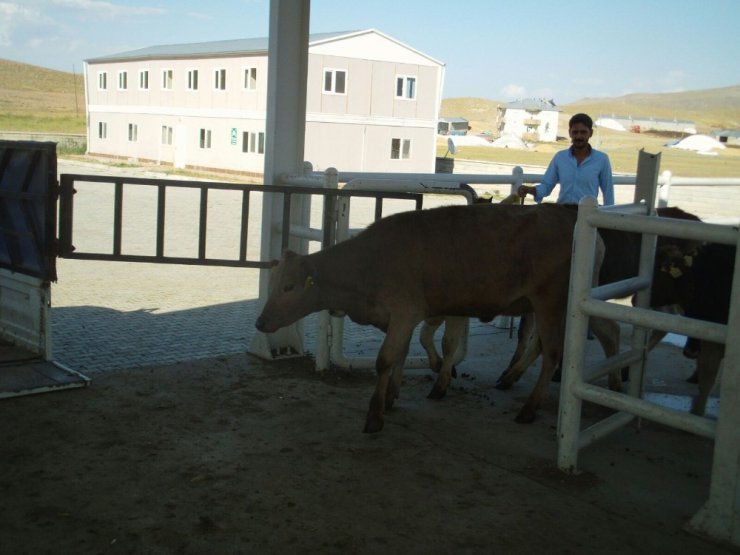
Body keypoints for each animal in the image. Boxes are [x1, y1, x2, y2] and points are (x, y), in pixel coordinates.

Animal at [254, 202, 600, 432]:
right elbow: (403, 353)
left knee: (553, 353)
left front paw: (375, 415)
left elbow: (385, 358)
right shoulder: (403, 319)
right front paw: (392, 396)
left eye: (288, 286)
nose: (260, 323)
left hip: (549, 303)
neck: (370, 262)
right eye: (272, 284)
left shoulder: (404, 313)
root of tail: (565, 212)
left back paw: (529, 408)